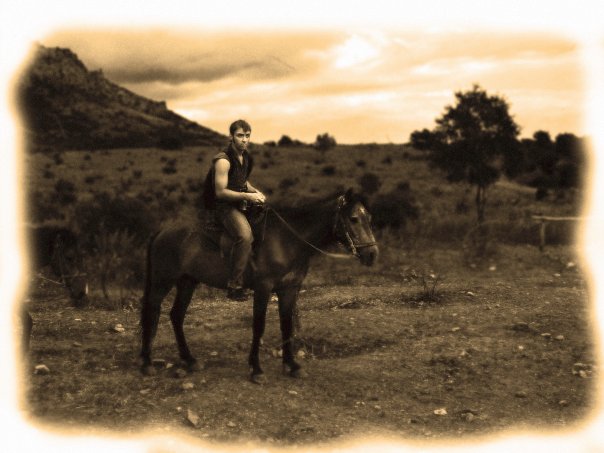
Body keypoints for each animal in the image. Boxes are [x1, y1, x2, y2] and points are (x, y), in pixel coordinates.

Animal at [140, 189, 379, 382]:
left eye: (369, 217)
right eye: (354, 218)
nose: (372, 254)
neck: (288, 240)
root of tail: (162, 232)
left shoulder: (289, 289)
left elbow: (286, 325)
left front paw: (292, 365)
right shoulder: (263, 289)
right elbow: (259, 325)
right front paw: (256, 369)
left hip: (187, 282)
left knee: (176, 316)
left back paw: (189, 360)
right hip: (163, 281)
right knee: (152, 311)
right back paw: (147, 363)